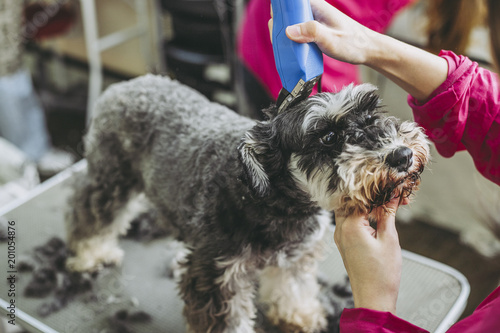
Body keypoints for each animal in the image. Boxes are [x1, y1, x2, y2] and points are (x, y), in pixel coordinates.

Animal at [64, 75, 428, 332]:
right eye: (328, 137)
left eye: (371, 114)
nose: (402, 155)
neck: (278, 204)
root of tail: (126, 85)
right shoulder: (216, 277)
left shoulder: (295, 256)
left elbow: (293, 287)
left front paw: (298, 315)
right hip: (111, 179)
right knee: (89, 209)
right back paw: (90, 253)